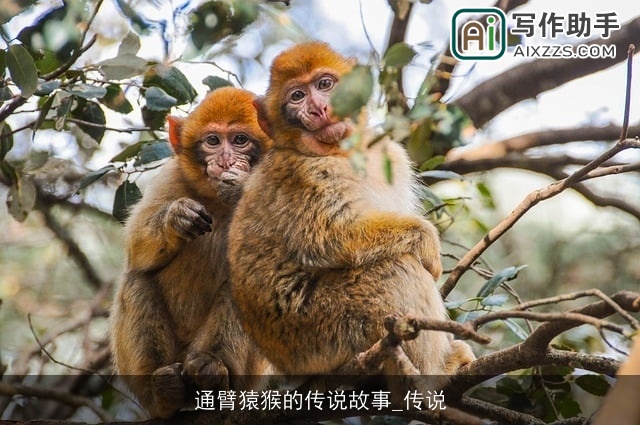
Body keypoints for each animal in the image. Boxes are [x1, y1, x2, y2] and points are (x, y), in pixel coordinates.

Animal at [109, 87, 272, 419]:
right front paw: (176, 218)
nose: (225, 160)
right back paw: (164, 392)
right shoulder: (172, 176)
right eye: (213, 141)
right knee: (137, 278)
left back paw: (211, 372)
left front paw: (240, 186)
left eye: (239, 140)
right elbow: (136, 250)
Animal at [227, 42, 474, 392]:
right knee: (394, 268)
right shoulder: (306, 175)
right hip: (320, 331)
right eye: (297, 96)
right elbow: (330, 237)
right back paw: (435, 373)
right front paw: (427, 243)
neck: (341, 152)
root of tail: (287, 366)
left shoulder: (390, 154)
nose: (318, 108)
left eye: (324, 84)